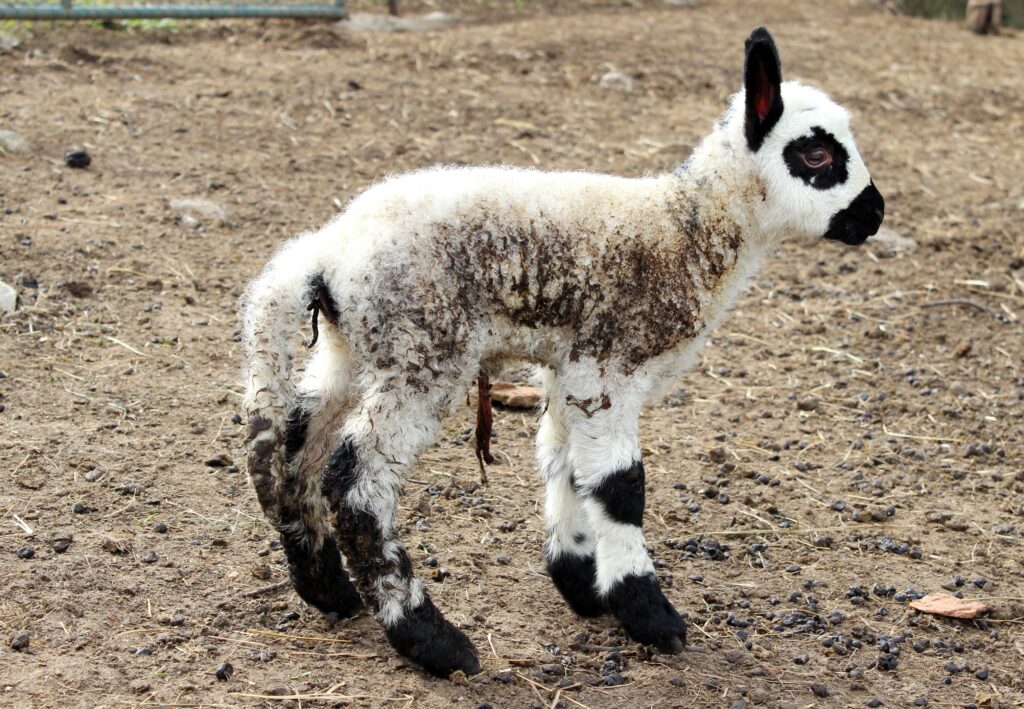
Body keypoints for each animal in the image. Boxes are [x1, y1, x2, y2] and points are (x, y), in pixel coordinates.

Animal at [241, 27, 888, 680]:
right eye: (816, 156)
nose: (874, 214)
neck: (687, 231)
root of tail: (326, 252)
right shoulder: (611, 364)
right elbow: (621, 486)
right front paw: (647, 612)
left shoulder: (569, 367)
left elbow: (565, 464)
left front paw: (580, 582)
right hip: (423, 350)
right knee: (357, 480)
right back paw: (429, 638)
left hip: (355, 347)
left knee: (291, 448)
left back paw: (328, 589)